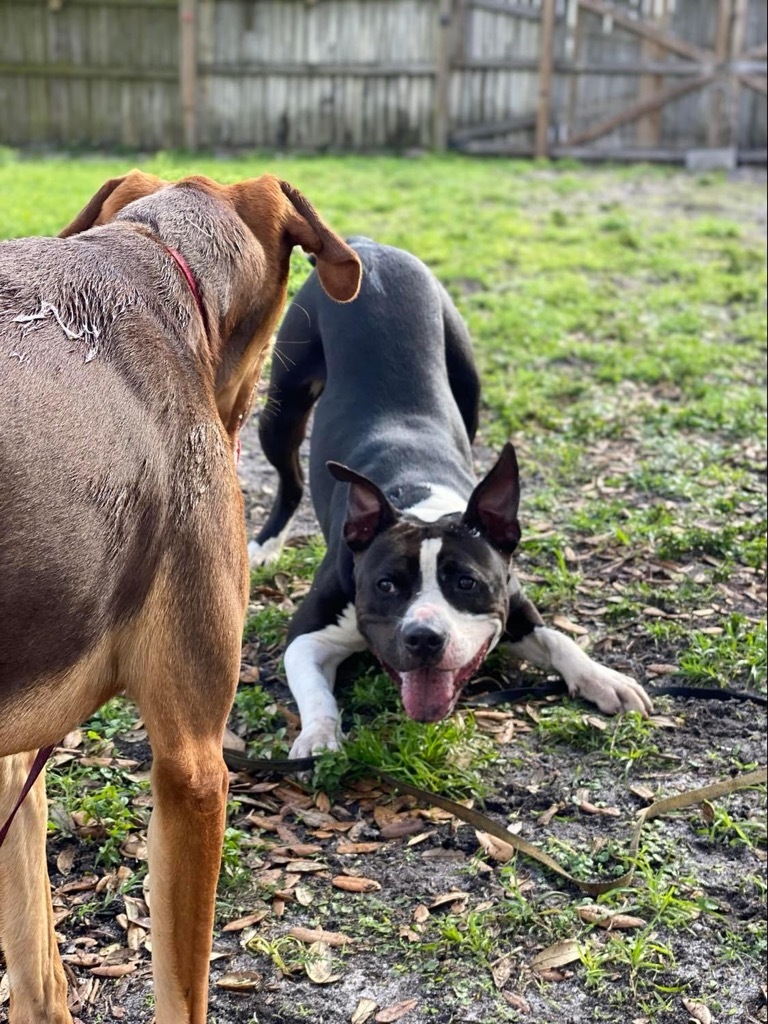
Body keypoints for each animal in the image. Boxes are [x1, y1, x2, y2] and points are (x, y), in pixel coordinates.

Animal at [249, 235, 651, 757]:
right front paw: (319, 736)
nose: (424, 637)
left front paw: (603, 678)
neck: (419, 495)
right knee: (289, 478)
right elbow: (316, 692)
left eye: (466, 583)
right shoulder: (305, 635)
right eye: (386, 585)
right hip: (283, 404)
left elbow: (560, 639)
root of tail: (367, 246)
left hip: (467, 383)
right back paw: (264, 545)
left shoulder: (513, 610)